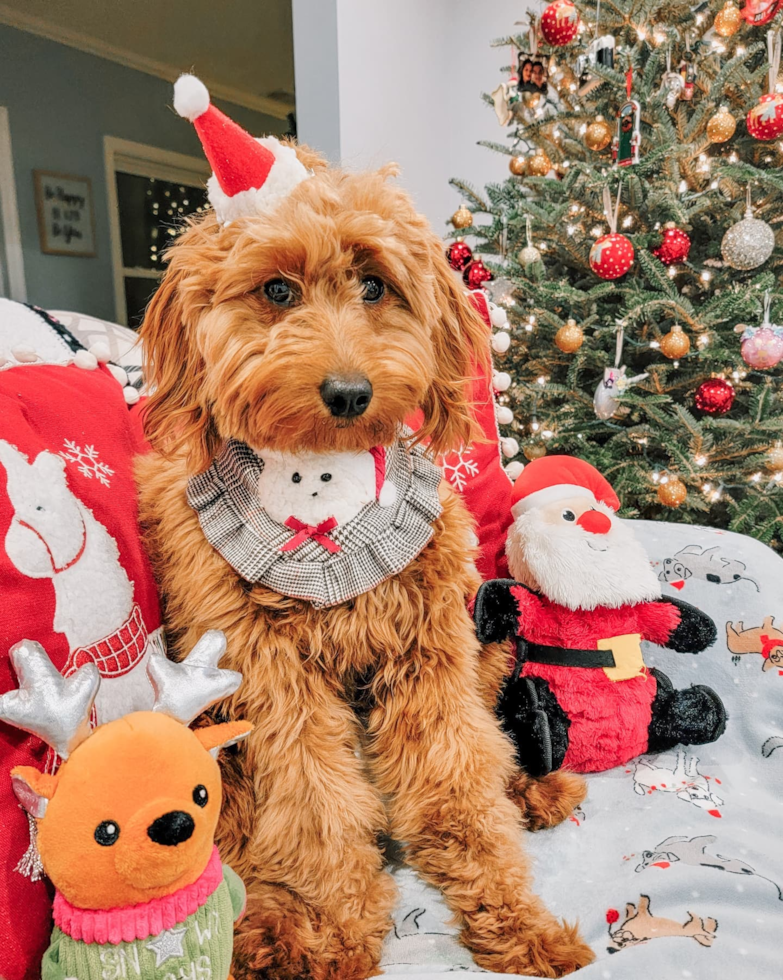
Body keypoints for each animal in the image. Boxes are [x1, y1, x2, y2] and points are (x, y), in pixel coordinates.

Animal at [136, 76, 596, 980]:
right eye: (277, 291)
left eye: (375, 285)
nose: (349, 393)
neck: (327, 487)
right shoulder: (272, 681)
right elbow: (318, 809)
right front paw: (337, 929)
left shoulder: (432, 660)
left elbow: (460, 791)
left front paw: (517, 921)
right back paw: (273, 936)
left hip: (487, 647)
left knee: (497, 754)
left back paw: (537, 791)